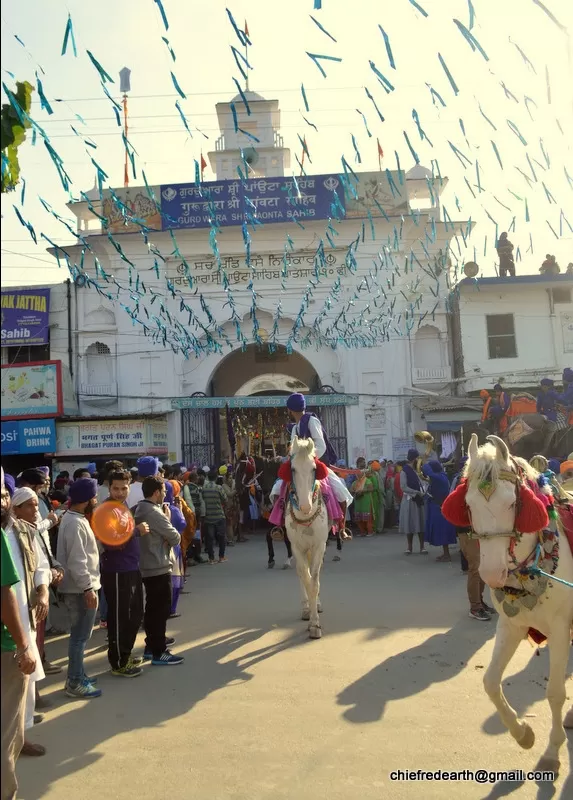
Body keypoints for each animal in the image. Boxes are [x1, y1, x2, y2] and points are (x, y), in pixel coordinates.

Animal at [446, 438, 572, 776]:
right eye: (469, 506)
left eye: (512, 504)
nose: (491, 574)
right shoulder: (511, 625)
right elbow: (490, 683)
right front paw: (522, 733)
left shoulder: (560, 629)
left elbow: (555, 693)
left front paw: (552, 751)